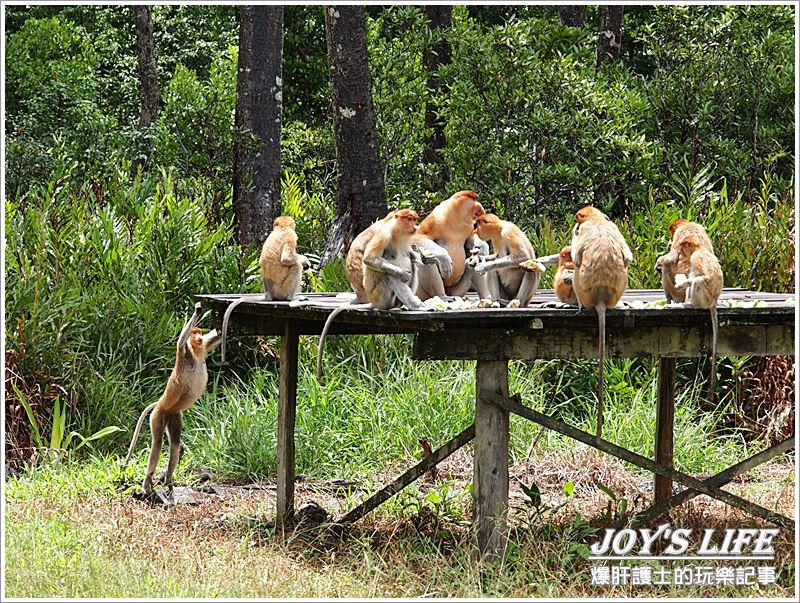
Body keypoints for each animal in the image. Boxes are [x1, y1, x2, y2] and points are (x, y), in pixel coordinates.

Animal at [120, 304, 219, 498]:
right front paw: (197, 310)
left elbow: (216, 337)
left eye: (200, 332)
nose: (199, 337)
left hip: (174, 415)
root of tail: (159, 403)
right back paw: (147, 484)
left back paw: (169, 482)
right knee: (157, 444)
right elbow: (180, 342)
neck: (195, 352)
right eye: (195, 332)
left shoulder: (204, 346)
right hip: (159, 415)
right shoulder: (185, 352)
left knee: (175, 443)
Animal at [220, 215, 310, 360]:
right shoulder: (291, 236)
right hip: (283, 289)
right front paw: (304, 260)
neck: (281, 229)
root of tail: (270, 294)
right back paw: (292, 297)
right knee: (295, 267)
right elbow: (287, 259)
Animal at [572, 206, 636, 438]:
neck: (597, 220)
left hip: (581, 288)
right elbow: (627, 257)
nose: (575, 224)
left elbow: (576, 257)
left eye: (577, 221)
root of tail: (600, 298)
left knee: (575, 268)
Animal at [676, 231, 724, 396]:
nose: (680, 252)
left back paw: (690, 304)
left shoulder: (696, 258)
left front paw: (681, 284)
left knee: (698, 282)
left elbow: (703, 277)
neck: (699, 248)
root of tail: (713, 302)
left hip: (705, 298)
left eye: (684, 246)